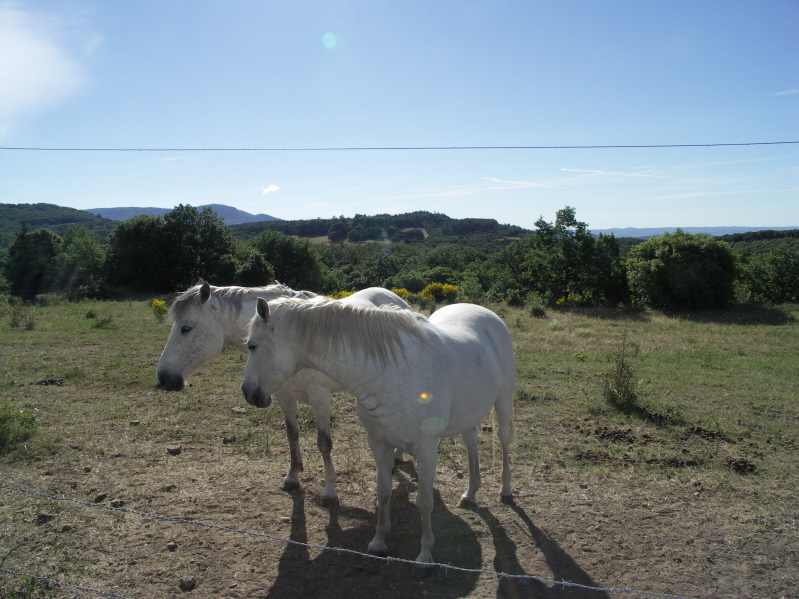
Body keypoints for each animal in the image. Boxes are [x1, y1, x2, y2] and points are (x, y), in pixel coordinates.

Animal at [156, 280, 412, 506]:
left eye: (186, 328)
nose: (164, 378)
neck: (294, 343)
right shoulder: (284, 396)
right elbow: (292, 434)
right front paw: (293, 476)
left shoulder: (319, 397)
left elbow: (324, 443)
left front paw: (329, 491)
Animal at [241, 296, 515, 563]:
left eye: (252, 346)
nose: (247, 392)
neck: (391, 371)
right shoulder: (379, 444)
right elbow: (383, 493)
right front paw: (379, 541)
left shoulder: (426, 450)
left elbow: (424, 503)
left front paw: (425, 554)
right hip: (470, 412)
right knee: (471, 442)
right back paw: (470, 493)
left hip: (503, 400)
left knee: (504, 441)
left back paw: (505, 490)